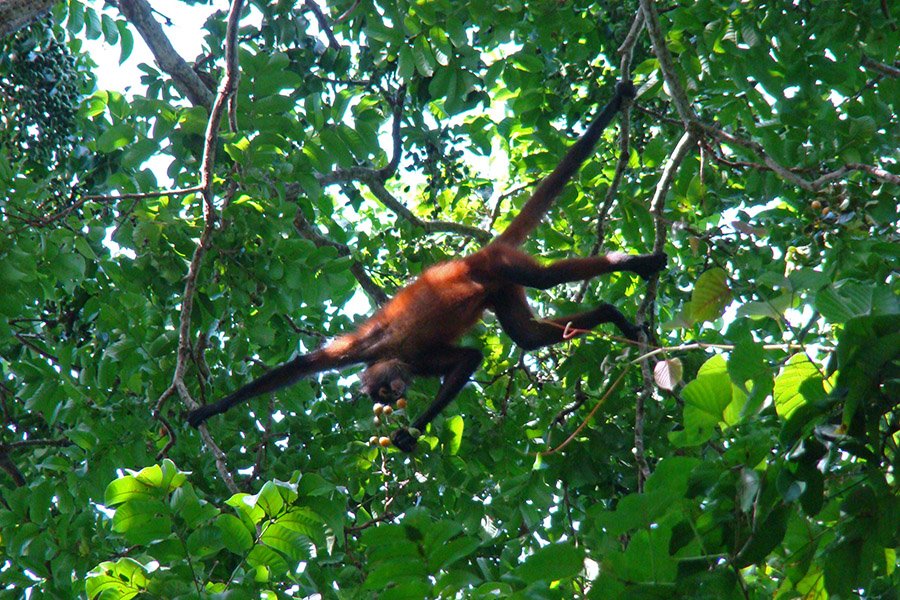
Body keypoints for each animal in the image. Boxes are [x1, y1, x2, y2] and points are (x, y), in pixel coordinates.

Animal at [190, 82, 664, 452]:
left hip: (504, 265)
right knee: (527, 336)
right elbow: (469, 358)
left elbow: (304, 365)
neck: (392, 356)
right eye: (384, 395)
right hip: (501, 288)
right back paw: (610, 314)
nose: (395, 394)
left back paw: (632, 263)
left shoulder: (372, 348)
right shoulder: (419, 362)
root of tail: (477, 256)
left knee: (545, 279)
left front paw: (211, 407)